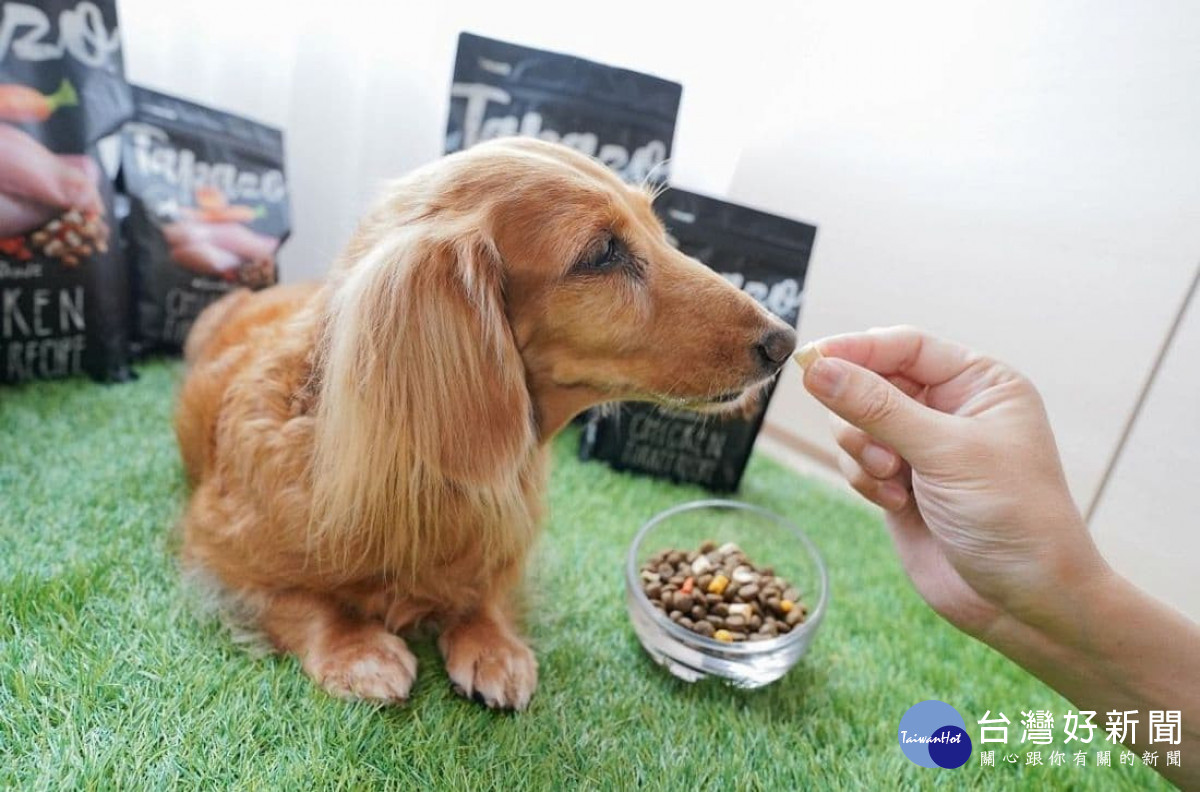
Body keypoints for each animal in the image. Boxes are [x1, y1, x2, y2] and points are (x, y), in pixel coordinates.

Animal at [175, 137, 796, 710]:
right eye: (602, 252)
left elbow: (487, 586)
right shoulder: (215, 547)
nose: (785, 342)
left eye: (658, 228)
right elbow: (294, 597)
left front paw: (493, 645)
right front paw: (355, 646)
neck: (414, 476)